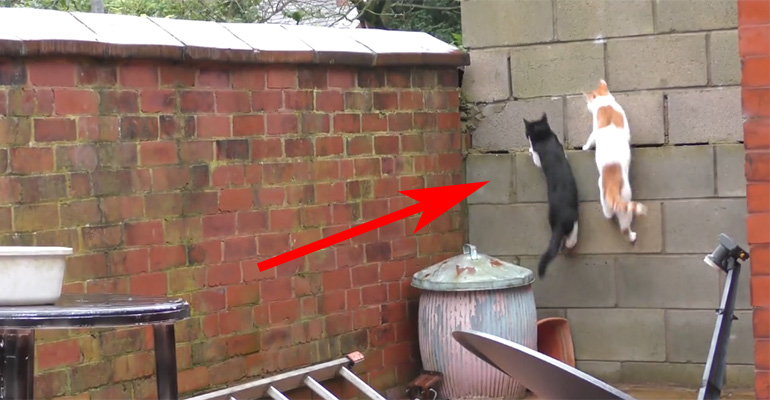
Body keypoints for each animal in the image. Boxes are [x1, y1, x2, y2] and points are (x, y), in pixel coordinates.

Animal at [524, 112, 580, 278]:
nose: (527, 137)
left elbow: (535, 157)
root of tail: (560, 222)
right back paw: (570, 243)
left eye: (527, 132)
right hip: (572, 215)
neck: (544, 137)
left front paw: (529, 149)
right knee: (573, 229)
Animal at [584, 79, 640, 242]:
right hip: (621, 200)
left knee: (614, 219)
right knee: (619, 222)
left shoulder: (594, 131)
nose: (587, 106)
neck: (605, 104)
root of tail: (612, 186)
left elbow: (590, 139)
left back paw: (631, 235)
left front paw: (584, 147)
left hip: (610, 201)